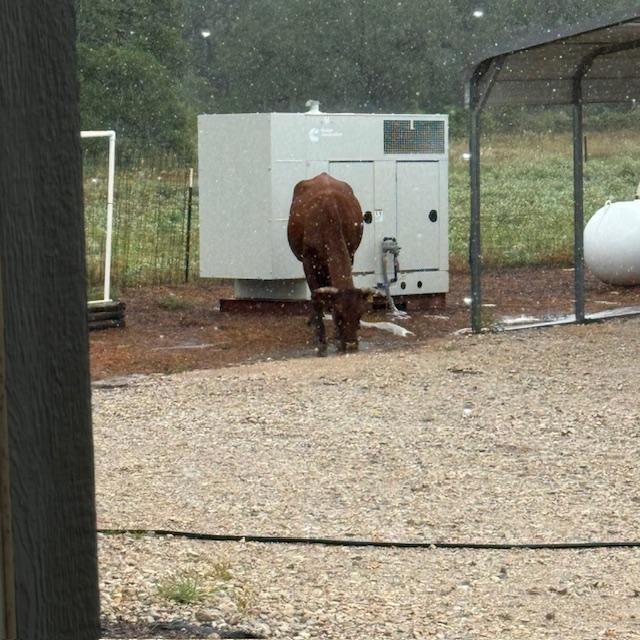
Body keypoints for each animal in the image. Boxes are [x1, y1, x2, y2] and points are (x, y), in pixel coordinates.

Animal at [287, 172, 373, 356]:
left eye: (360, 315)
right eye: (339, 315)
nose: (351, 344)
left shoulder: (350, 253)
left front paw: (336, 336)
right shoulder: (308, 262)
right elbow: (316, 298)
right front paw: (321, 340)